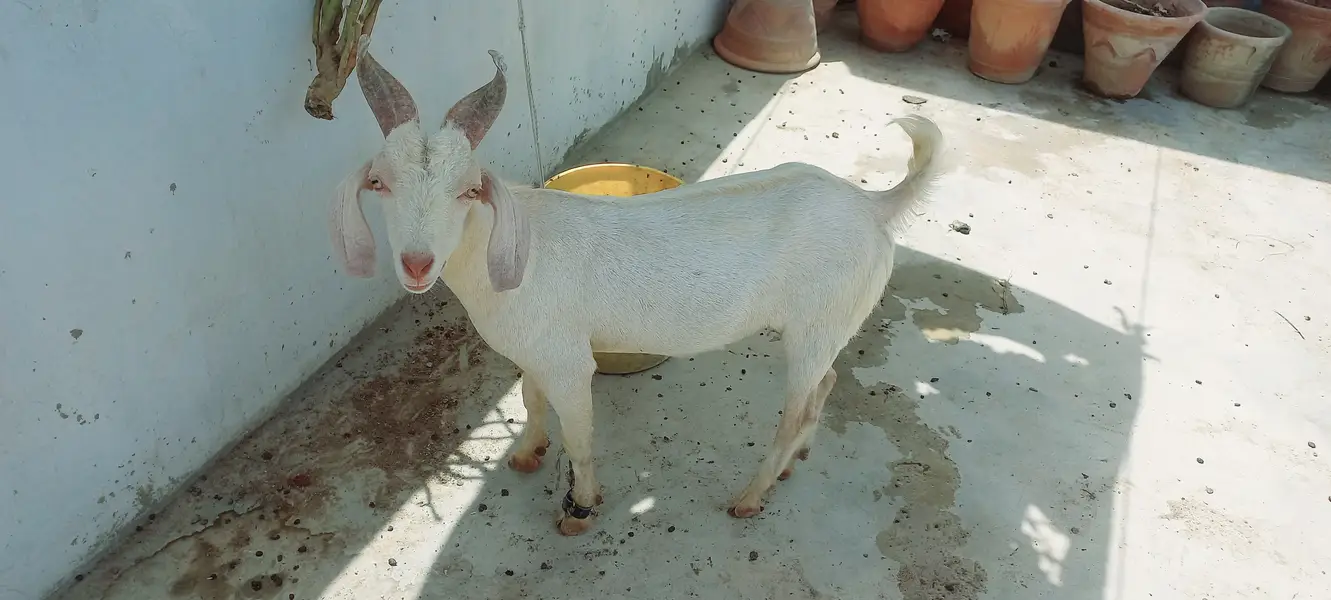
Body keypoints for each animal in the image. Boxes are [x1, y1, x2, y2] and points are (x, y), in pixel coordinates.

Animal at [331, 43, 945, 536]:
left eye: (467, 191)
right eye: (380, 183)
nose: (416, 263)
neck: (508, 248)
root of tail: (871, 206)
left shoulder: (568, 361)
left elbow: (578, 437)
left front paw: (580, 509)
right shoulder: (533, 348)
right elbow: (530, 399)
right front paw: (528, 454)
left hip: (817, 321)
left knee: (797, 406)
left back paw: (750, 497)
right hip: (828, 324)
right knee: (828, 380)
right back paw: (797, 459)